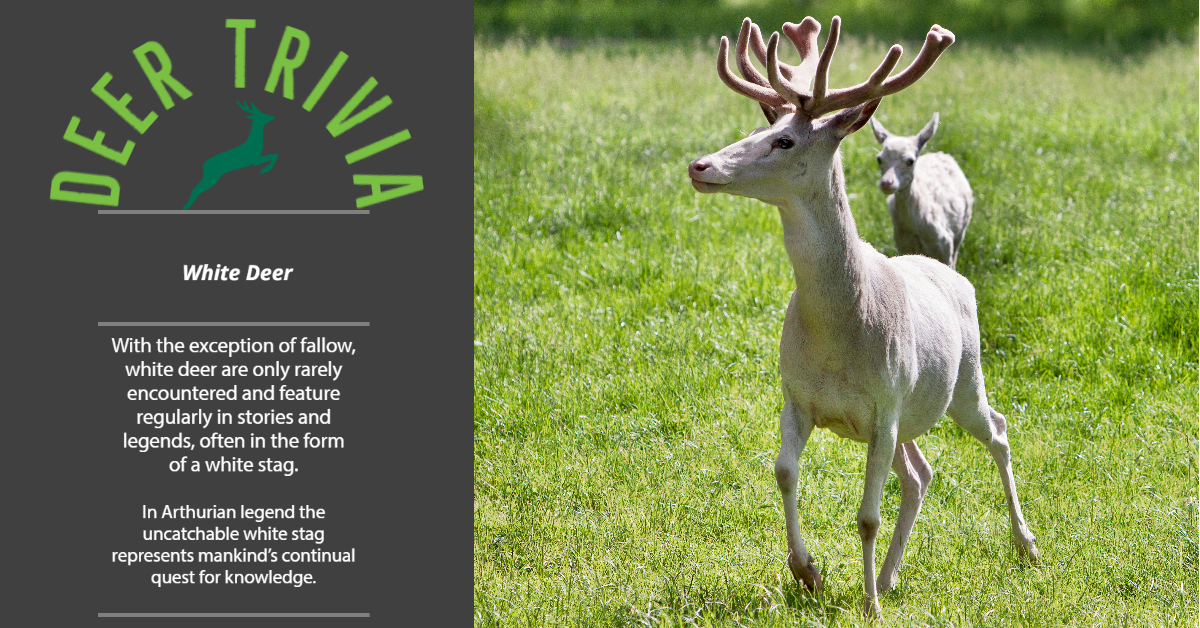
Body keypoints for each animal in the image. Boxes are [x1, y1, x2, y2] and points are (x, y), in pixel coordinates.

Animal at [870, 112, 974, 267]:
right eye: (879, 159)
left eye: (910, 161)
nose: (887, 183)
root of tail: (941, 154)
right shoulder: (903, 244)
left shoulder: (944, 244)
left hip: (962, 227)